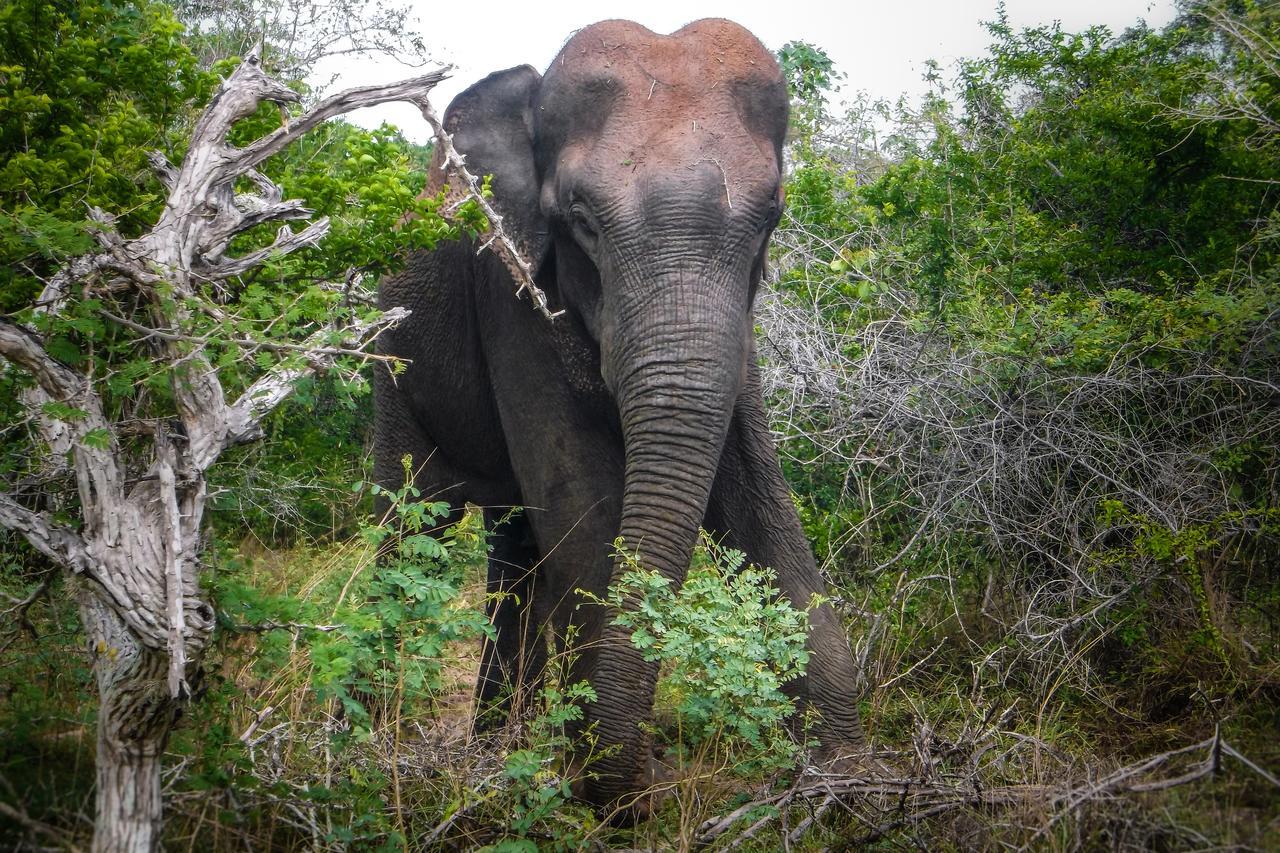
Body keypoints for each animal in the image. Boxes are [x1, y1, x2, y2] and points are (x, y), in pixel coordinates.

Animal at [373, 14, 865, 809]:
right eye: (581, 222)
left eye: (771, 220)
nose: (651, 776)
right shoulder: (511, 289)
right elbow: (584, 503)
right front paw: (604, 790)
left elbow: (759, 496)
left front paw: (848, 778)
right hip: (389, 354)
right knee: (408, 519)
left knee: (514, 548)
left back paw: (496, 749)